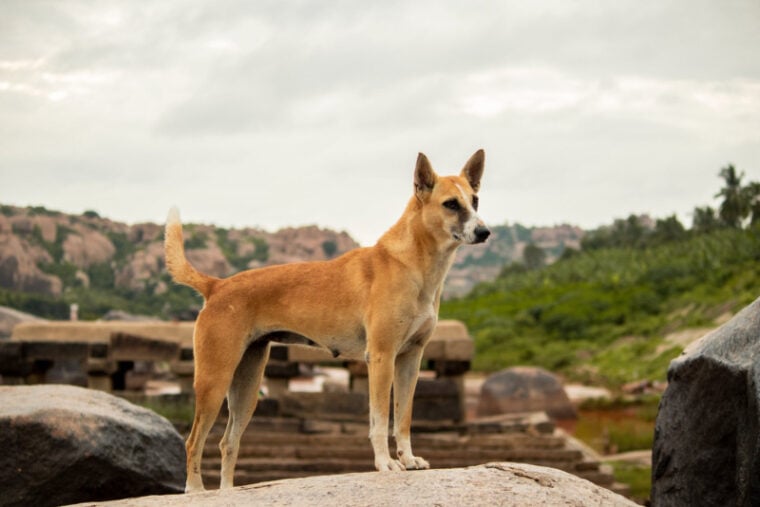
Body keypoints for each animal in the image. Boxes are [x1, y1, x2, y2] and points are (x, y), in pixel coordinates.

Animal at [163, 151, 490, 492]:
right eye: (450, 204)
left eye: (475, 200)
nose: (485, 232)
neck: (411, 262)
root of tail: (217, 285)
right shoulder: (381, 357)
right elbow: (379, 420)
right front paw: (385, 463)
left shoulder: (410, 360)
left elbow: (403, 419)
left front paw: (409, 459)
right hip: (214, 380)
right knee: (193, 441)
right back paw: (195, 491)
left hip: (247, 385)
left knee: (228, 442)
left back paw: (226, 491)